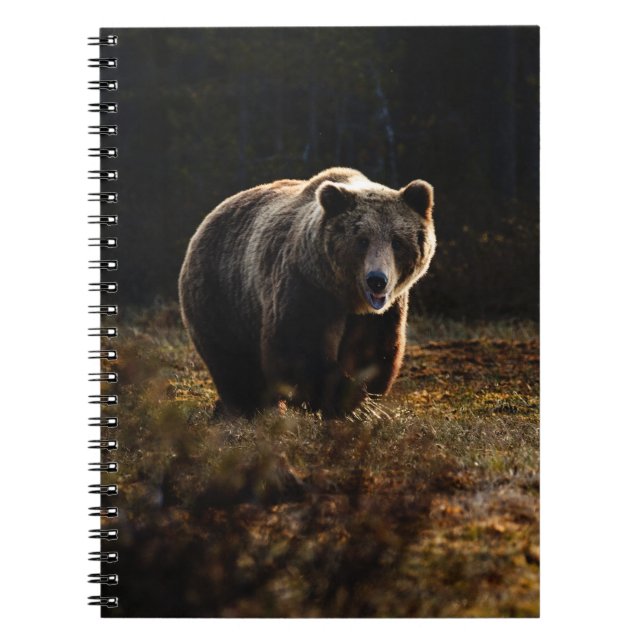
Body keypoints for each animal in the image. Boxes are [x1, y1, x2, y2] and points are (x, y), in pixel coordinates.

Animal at [178, 167, 436, 418]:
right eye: (362, 240)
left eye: (397, 241)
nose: (377, 281)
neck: (346, 296)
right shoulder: (305, 288)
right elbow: (299, 349)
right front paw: (341, 399)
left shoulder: (381, 313)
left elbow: (372, 351)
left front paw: (360, 400)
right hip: (222, 296)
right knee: (233, 363)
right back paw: (247, 408)